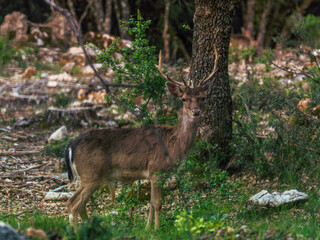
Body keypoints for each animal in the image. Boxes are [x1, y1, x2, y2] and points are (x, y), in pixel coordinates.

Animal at [65, 47, 220, 229]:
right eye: (183, 99)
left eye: (202, 97)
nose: (196, 111)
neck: (175, 144)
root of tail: (71, 145)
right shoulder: (156, 169)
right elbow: (158, 203)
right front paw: (157, 229)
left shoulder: (155, 174)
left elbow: (151, 203)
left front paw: (147, 228)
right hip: (91, 173)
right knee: (73, 203)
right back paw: (76, 230)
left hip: (91, 175)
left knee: (80, 205)